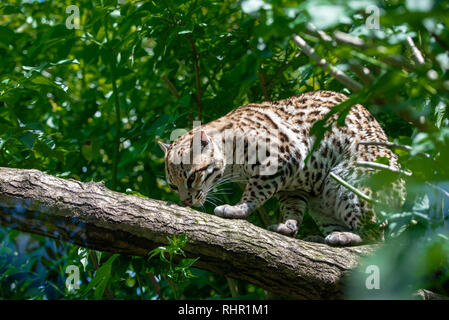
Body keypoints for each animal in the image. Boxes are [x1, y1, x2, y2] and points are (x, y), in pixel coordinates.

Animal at [158, 91, 406, 246]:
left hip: (349, 185)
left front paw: (238, 209)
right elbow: (292, 207)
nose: (186, 201)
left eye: (192, 177)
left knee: (376, 240)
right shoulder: (295, 184)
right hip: (323, 204)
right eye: (173, 186)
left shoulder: (283, 158)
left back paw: (344, 237)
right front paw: (288, 226)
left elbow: (255, 191)